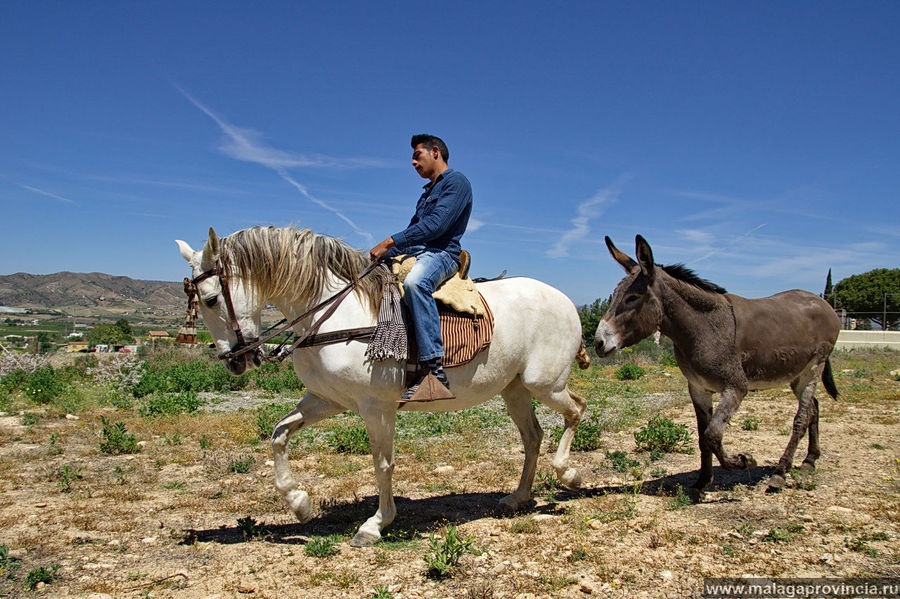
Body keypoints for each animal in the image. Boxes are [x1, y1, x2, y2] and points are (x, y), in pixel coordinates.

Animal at [177, 226, 592, 548]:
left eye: (211, 298)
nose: (235, 361)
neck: (335, 314)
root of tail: (565, 300)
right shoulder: (325, 400)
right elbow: (279, 435)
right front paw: (299, 502)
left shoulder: (376, 407)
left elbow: (383, 463)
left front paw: (376, 524)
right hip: (515, 389)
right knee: (533, 436)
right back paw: (518, 497)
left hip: (544, 384)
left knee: (577, 409)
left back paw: (568, 475)